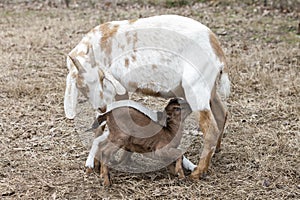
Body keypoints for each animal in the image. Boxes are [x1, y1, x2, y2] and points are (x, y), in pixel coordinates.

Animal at [64, 14, 231, 179]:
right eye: (81, 86)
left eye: (101, 78)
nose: (101, 106)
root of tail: (217, 50)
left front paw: (92, 164)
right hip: (210, 89)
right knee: (221, 113)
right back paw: (215, 152)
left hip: (196, 89)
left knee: (211, 130)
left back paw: (198, 172)